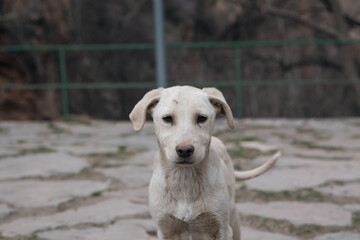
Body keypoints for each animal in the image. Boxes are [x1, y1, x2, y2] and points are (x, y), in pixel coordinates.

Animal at [129, 86, 282, 240]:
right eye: (167, 119)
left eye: (202, 118)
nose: (185, 150)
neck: (185, 179)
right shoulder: (165, 230)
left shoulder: (222, 229)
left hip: (233, 218)